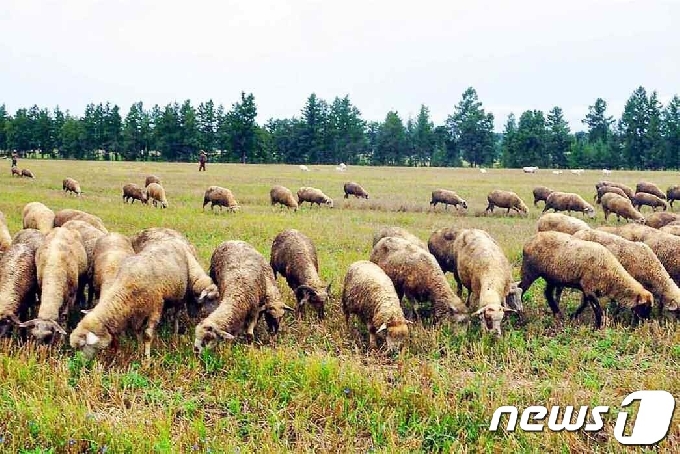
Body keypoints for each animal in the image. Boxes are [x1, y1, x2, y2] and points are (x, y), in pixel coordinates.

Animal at [520, 232, 652, 328]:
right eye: (644, 307)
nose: (643, 325)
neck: (612, 273)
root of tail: (529, 241)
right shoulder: (589, 288)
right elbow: (597, 309)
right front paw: (598, 327)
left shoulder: (586, 288)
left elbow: (583, 305)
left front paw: (573, 316)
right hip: (529, 270)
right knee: (520, 288)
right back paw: (520, 313)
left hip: (552, 277)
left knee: (547, 293)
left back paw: (557, 313)